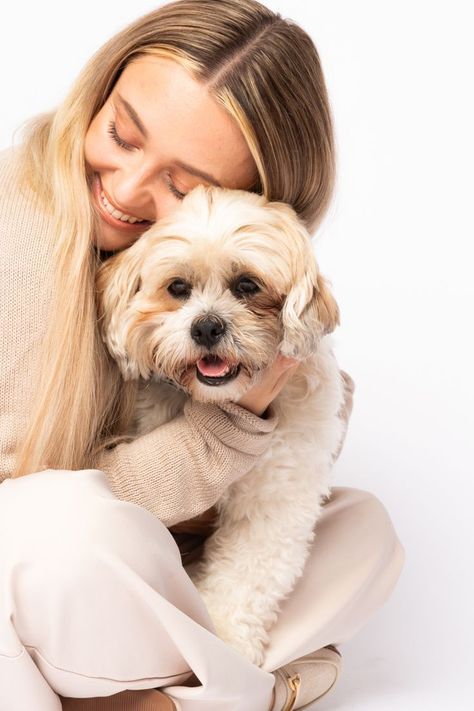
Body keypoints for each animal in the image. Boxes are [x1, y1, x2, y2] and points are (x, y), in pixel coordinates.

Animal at [96, 185, 346, 668]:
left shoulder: (276, 500)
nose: (207, 326)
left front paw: (226, 646)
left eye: (247, 285)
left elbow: (246, 577)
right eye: (178, 287)